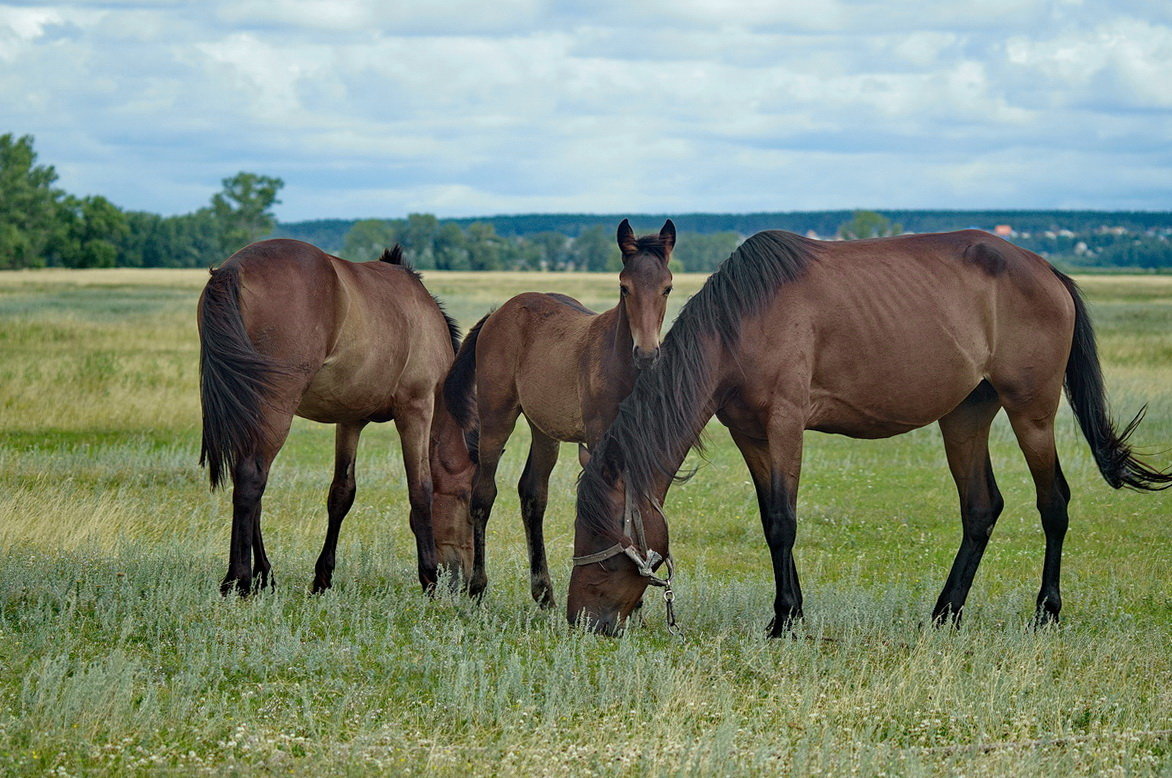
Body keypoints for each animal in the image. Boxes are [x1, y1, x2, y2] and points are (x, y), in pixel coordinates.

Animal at [198, 236, 475, 595]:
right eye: (467, 500)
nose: (465, 580)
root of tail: (232, 269)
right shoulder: (416, 409)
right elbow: (421, 489)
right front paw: (428, 576)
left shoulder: (350, 419)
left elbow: (342, 493)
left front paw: (323, 576)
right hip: (275, 406)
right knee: (251, 479)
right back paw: (239, 579)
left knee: (250, 484)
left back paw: (264, 574)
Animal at [440, 219, 679, 609]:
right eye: (623, 287)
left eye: (667, 287)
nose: (646, 354)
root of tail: (500, 312)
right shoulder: (599, 440)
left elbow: (637, 509)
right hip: (496, 417)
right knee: (483, 494)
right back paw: (477, 587)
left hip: (544, 429)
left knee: (533, 495)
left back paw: (543, 592)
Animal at [564, 228, 1162, 637]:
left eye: (601, 541)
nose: (581, 621)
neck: (743, 321)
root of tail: (1048, 271)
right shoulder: (751, 435)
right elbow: (770, 519)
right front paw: (793, 613)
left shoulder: (786, 425)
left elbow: (783, 522)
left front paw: (783, 621)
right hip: (965, 415)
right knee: (981, 508)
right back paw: (944, 614)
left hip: (1031, 410)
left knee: (1053, 502)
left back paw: (1046, 612)